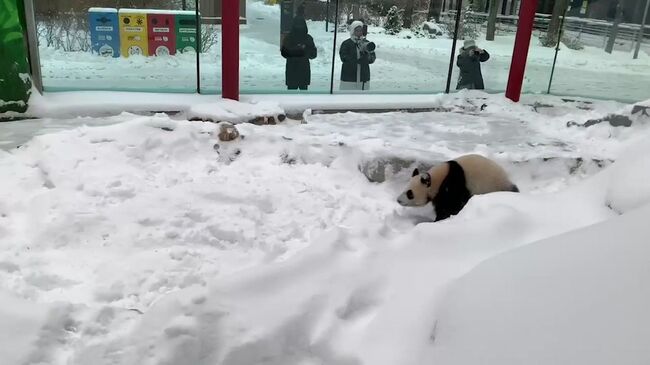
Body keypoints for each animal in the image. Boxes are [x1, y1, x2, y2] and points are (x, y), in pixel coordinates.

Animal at [392, 154, 520, 222]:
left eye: (410, 193)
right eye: (405, 188)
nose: (398, 200)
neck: (437, 178)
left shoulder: (454, 185)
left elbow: (451, 206)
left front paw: (439, 220)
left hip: (494, 184)